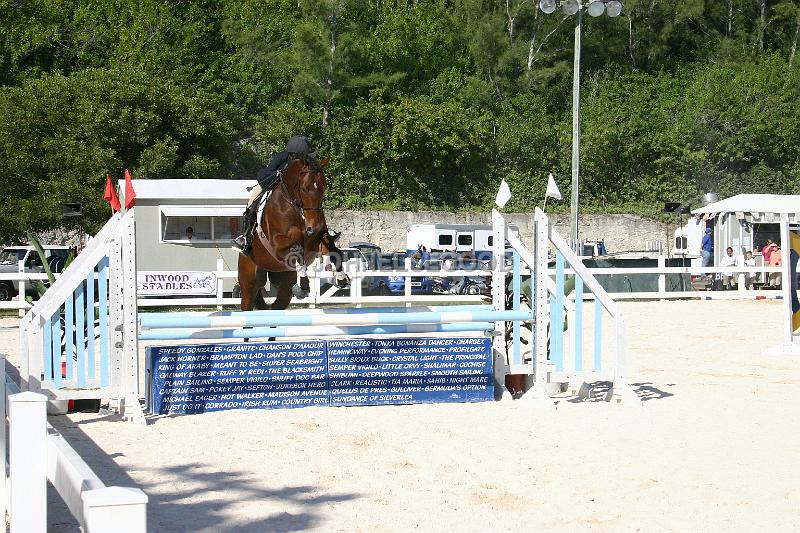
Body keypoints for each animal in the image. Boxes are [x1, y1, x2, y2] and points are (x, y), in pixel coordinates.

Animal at [238, 155, 350, 312]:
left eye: (324, 187)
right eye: (304, 188)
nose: (314, 227)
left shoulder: (315, 242)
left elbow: (334, 250)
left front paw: (341, 278)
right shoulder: (277, 245)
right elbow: (297, 251)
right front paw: (303, 285)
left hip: (284, 287)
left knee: (277, 305)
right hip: (249, 281)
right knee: (248, 299)